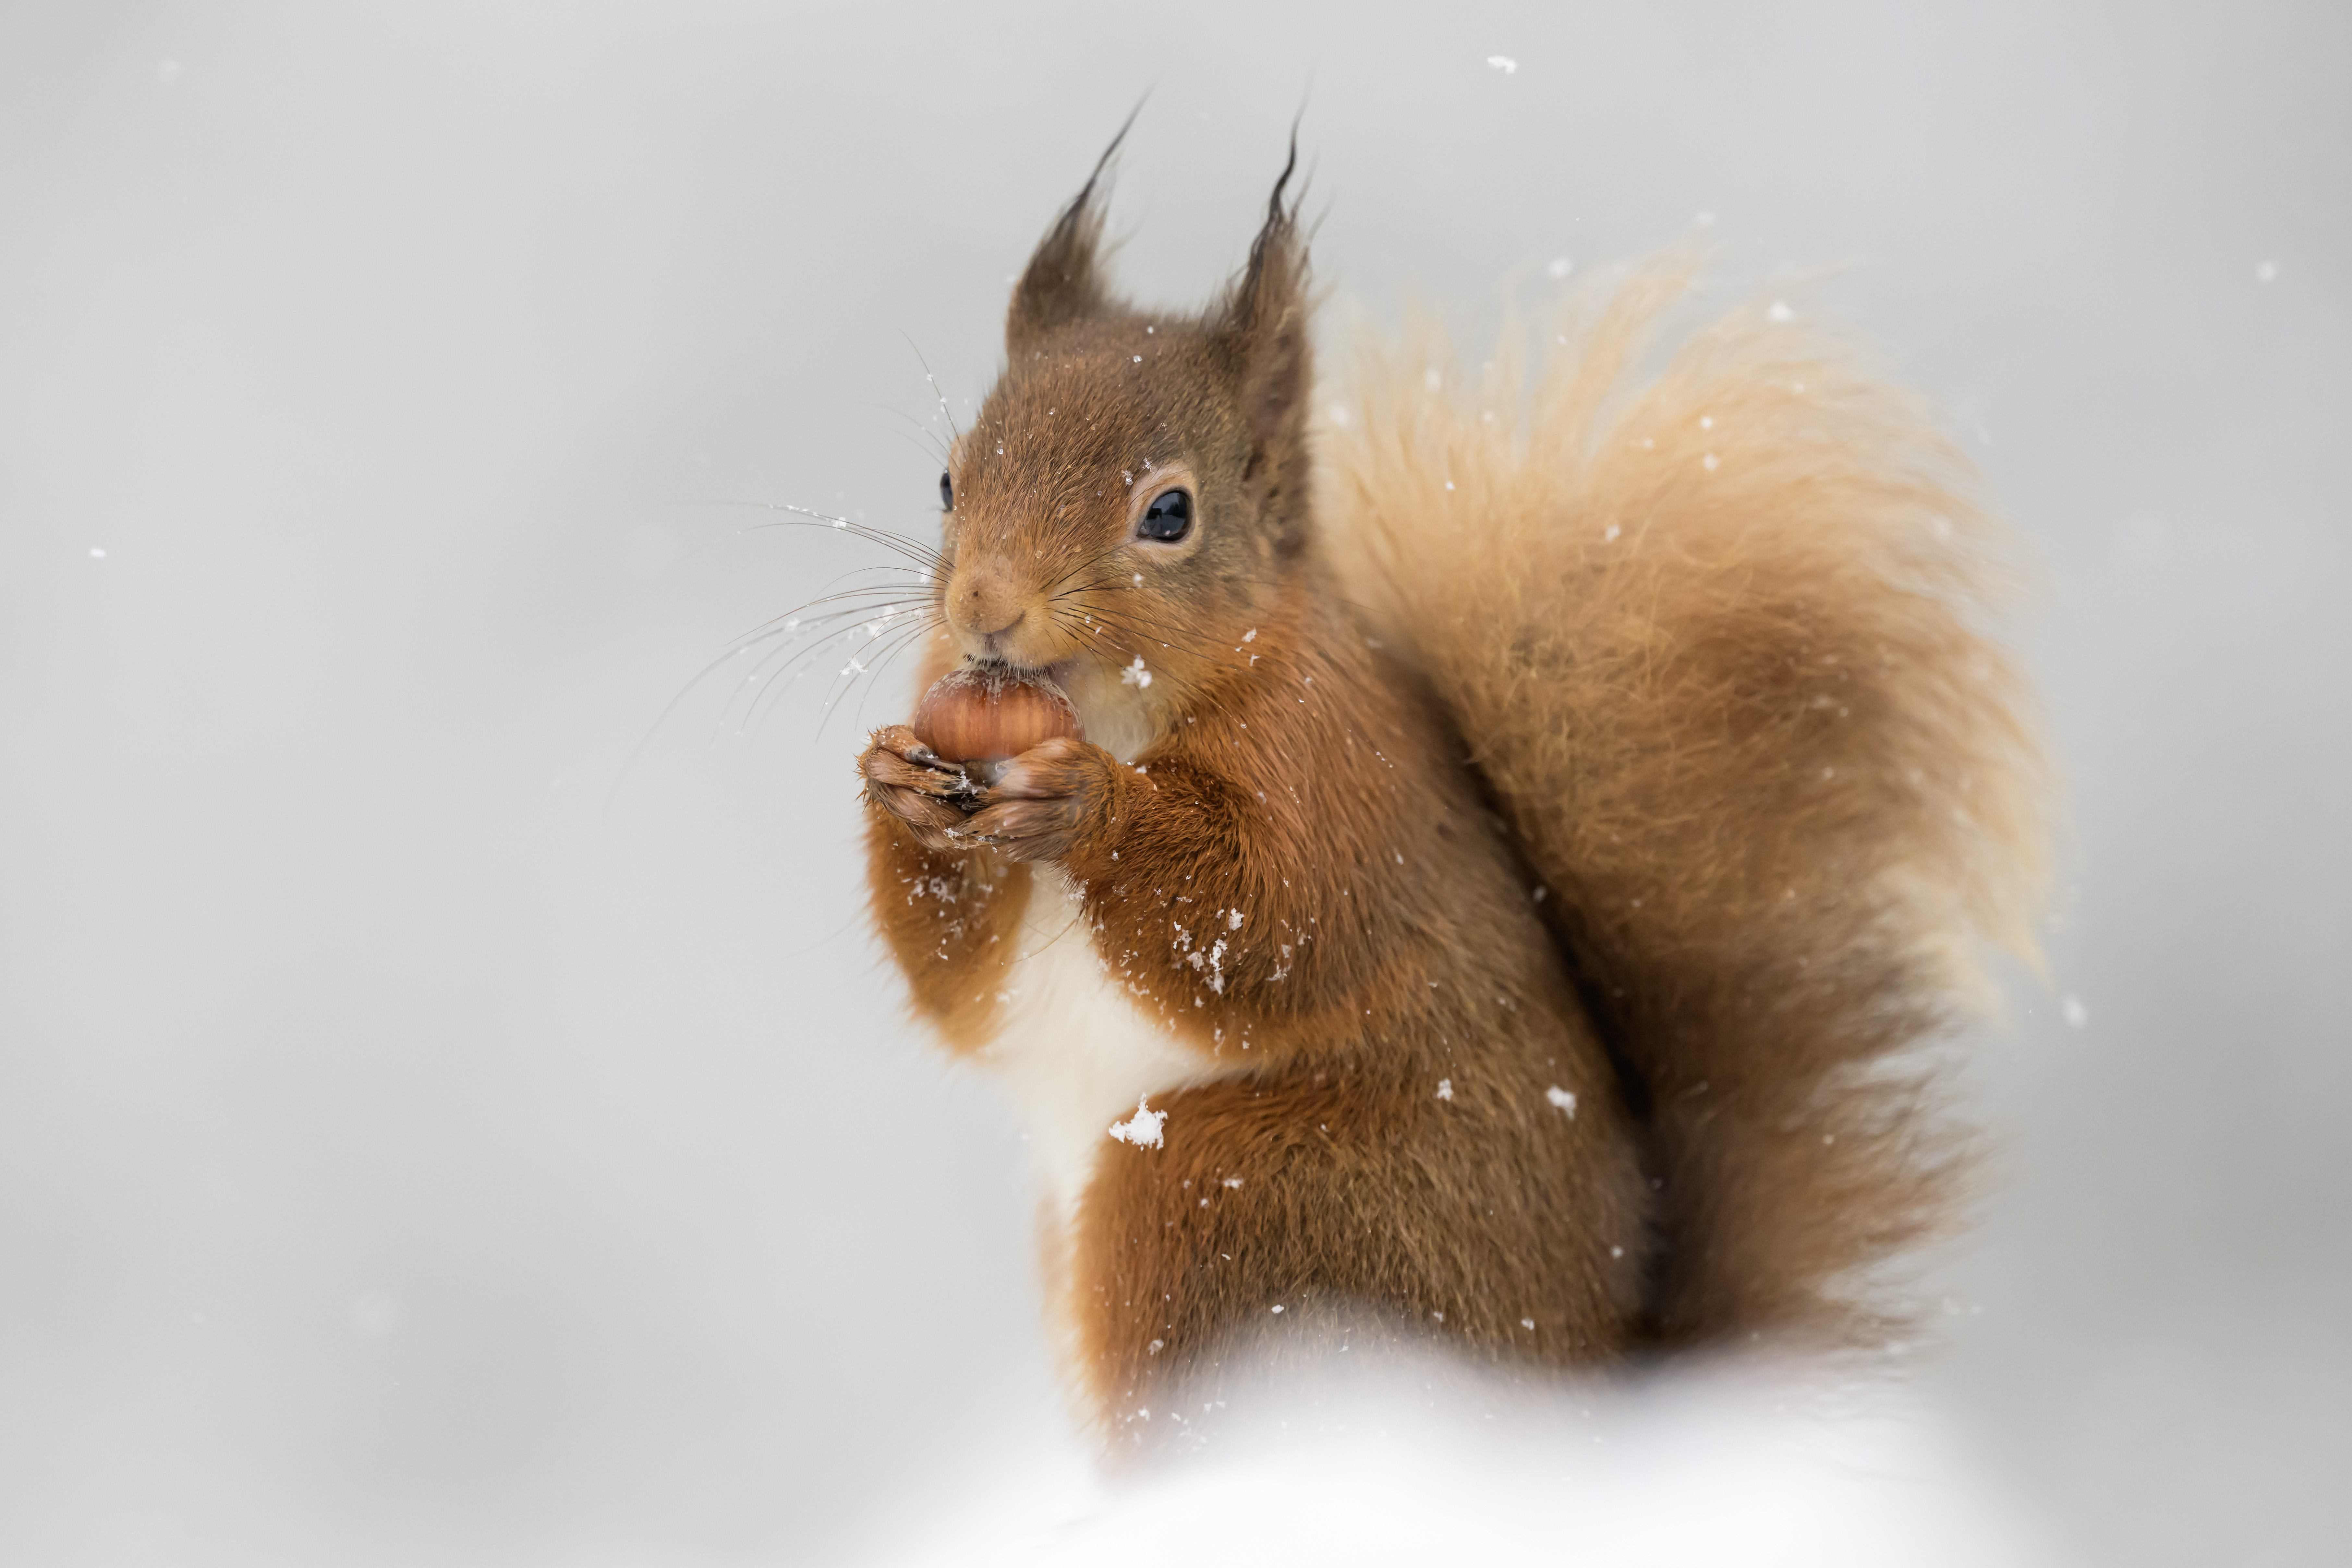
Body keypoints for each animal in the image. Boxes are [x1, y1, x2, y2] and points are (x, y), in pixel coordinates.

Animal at [855, 127, 2048, 1440]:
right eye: (951, 483)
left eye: (1168, 513)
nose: (985, 609)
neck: (1110, 711)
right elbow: (964, 991)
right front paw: (901, 792)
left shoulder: (1333, 770)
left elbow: (1272, 922)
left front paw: (1091, 808)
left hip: (1233, 1195)